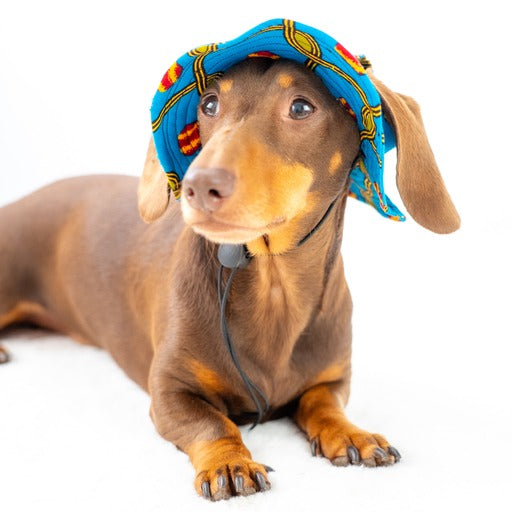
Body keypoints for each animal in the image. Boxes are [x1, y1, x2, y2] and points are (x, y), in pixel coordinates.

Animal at [0, 28, 460, 500]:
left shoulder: (332, 379)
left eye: (301, 107)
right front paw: (229, 463)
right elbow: (213, 424)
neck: (275, 288)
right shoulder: (169, 391)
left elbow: (323, 402)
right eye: (209, 104)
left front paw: (351, 433)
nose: (197, 187)